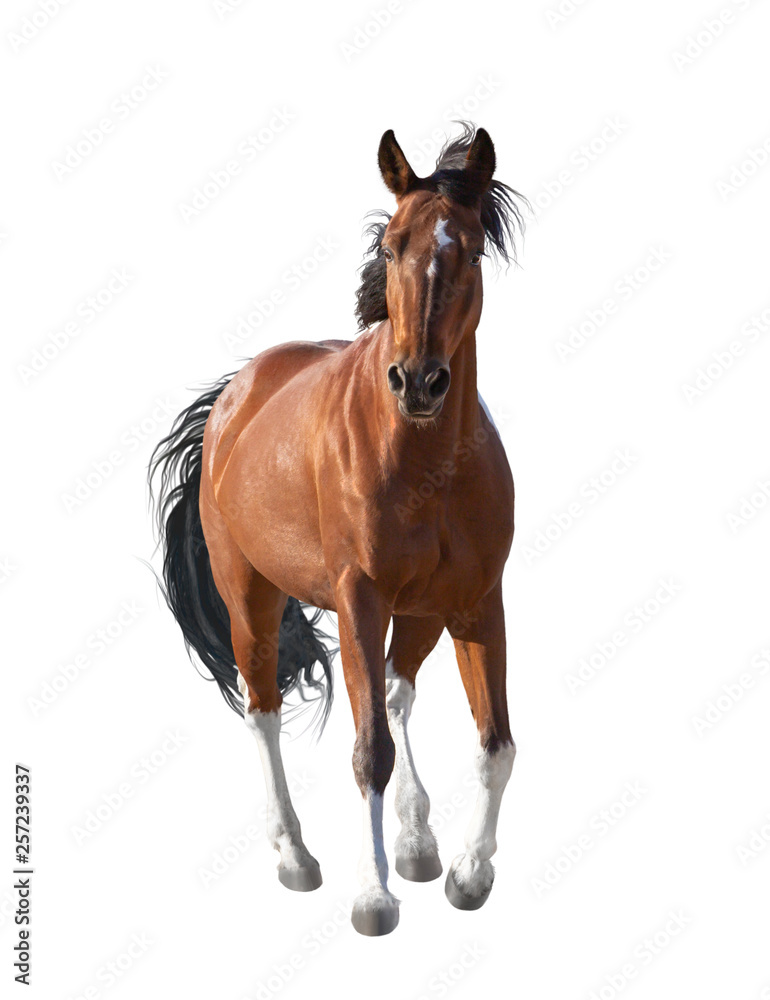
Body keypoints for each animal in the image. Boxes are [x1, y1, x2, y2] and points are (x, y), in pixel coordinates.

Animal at [149, 123, 527, 936]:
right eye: (390, 244)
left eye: (471, 250)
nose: (418, 381)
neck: (426, 461)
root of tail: (232, 398)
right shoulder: (360, 601)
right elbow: (368, 751)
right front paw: (372, 898)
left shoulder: (477, 604)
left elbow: (495, 743)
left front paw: (469, 874)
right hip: (251, 598)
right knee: (262, 708)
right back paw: (295, 856)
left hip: (421, 613)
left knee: (396, 691)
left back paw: (416, 841)